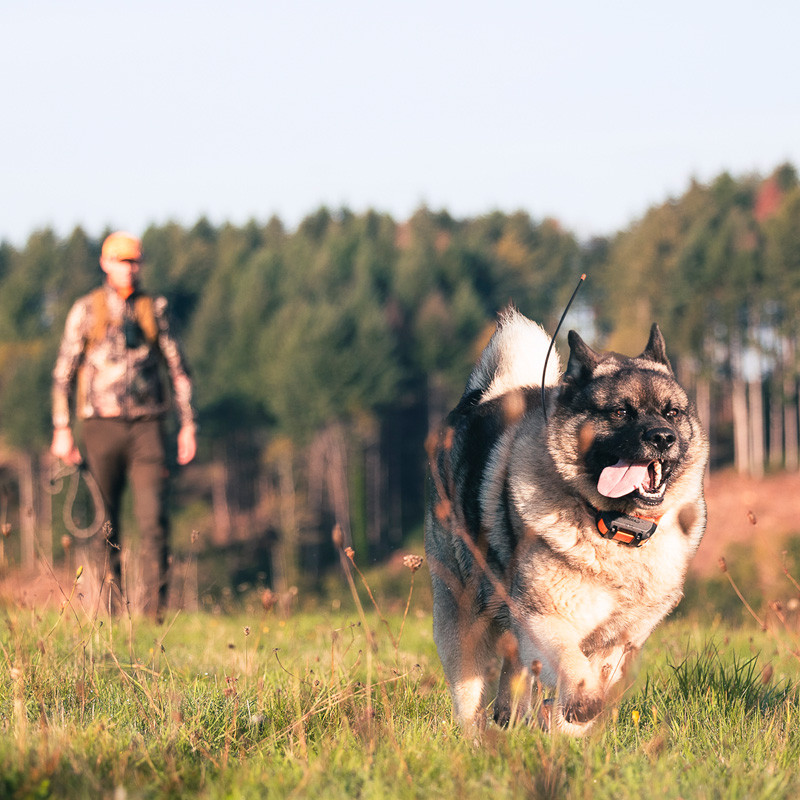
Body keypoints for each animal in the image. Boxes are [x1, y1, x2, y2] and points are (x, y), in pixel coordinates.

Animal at [424, 308, 708, 736]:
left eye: (672, 412)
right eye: (620, 412)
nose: (663, 437)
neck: (615, 527)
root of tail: (481, 400)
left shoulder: (617, 643)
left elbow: (592, 678)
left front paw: (565, 730)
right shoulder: (545, 619)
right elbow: (573, 667)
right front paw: (579, 704)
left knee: (514, 675)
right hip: (463, 619)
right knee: (471, 697)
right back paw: (477, 737)